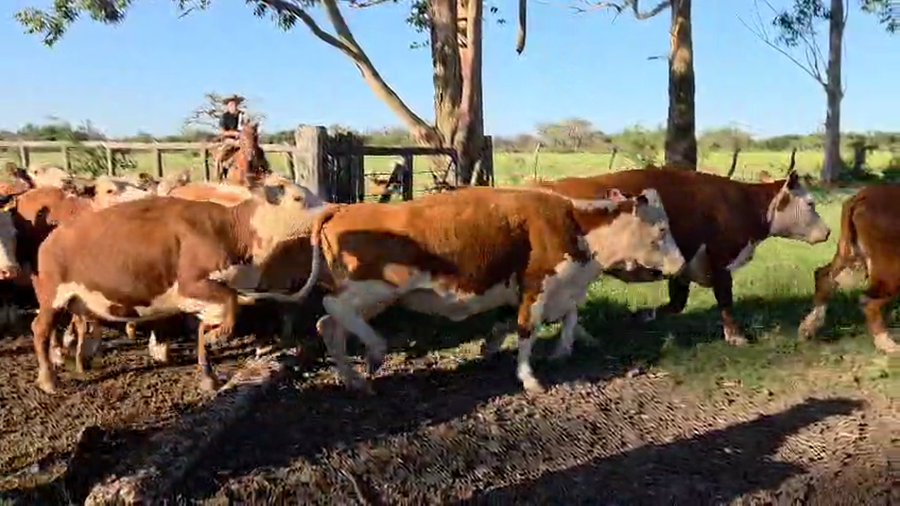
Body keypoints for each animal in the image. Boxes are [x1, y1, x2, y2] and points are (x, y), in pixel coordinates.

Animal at [29, 175, 325, 394]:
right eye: (298, 198)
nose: (330, 208)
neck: (231, 231)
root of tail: (50, 239)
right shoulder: (191, 285)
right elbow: (230, 305)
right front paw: (217, 336)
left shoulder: (205, 294)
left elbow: (207, 323)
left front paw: (208, 374)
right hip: (52, 298)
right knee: (40, 329)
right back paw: (48, 380)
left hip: (78, 302)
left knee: (79, 325)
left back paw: (80, 362)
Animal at [287, 186, 684, 394]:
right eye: (662, 230)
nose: (680, 264)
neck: (574, 222)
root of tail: (342, 209)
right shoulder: (537, 287)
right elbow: (527, 330)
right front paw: (529, 377)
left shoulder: (548, 288)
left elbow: (566, 317)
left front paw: (558, 349)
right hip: (375, 290)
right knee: (333, 308)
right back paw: (373, 353)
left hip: (373, 299)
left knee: (330, 325)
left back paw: (353, 378)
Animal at [534, 168, 831, 345]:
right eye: (810, 203)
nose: (828, 231)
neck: (742, 203)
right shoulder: (720, 261)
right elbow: (725, 301)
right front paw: (736, 337)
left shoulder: (683, 267)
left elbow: (676, 303)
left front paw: (644, 316)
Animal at [798, 185, 900, 353]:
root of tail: (862, 195)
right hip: (890, 269)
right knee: (869, 300)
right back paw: (886, 343)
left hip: (850, 256)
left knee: (824, 277)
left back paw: (809, 327)